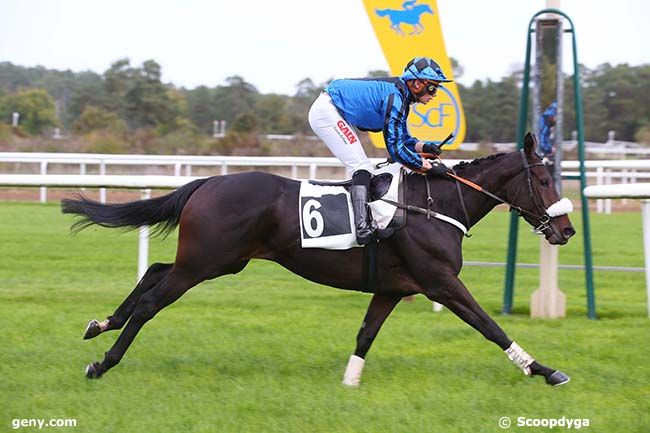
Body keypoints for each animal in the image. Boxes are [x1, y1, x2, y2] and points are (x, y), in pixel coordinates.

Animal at [62, 133, 572, 386]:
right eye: (546, 181)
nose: (566, 230)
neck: (435, 204)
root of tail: (208, 182)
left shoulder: (394, 287)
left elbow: (366, 334)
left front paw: (349, 382)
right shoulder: (440, 282)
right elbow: (490, 326)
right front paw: (543, 370)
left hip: (218, 260)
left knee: (153, 271)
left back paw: (101, 323)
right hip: (205, 262)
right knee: (153, 301)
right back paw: (102, 363)